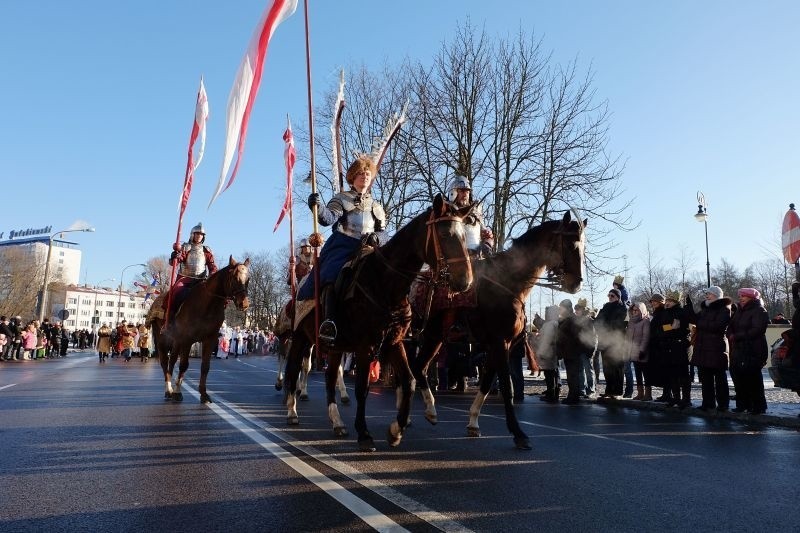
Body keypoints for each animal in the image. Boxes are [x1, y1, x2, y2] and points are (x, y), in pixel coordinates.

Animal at [146, 256, 250, 402]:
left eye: (248, 279)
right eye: (235, 277)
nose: (244, 304)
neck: (207, 304)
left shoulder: (209, 339)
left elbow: (205, 366)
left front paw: (204, 394)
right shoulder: (187, 339)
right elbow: (184, 365)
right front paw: (177, 392)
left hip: (176, 341)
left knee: (172, 361)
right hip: (162, 340)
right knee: (165, 362)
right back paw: (168, 390)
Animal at [284, 193, 476, 450]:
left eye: (465, 235)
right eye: (445, 235)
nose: (465, 281)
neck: (385, 282)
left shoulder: (393, 342)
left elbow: (409, 382)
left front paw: (396, 430)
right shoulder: (366, 346)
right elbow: (362, 389)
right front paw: (364, 434)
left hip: (335, 347)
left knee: (330, 377)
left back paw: (337, 422)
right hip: (300, 338)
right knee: (293, 369)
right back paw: (292, 412)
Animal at [412, 211, 588, 448]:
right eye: (571, 245)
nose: (576, 284)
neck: (507, 283)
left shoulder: (501, 346)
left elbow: (487, 383)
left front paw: (473, 423)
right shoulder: (499, 343)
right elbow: (507, 387)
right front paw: (518, 433)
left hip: (431, 337)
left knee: (416, 367)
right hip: (428, 336)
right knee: (415, 366)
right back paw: (428, 411)